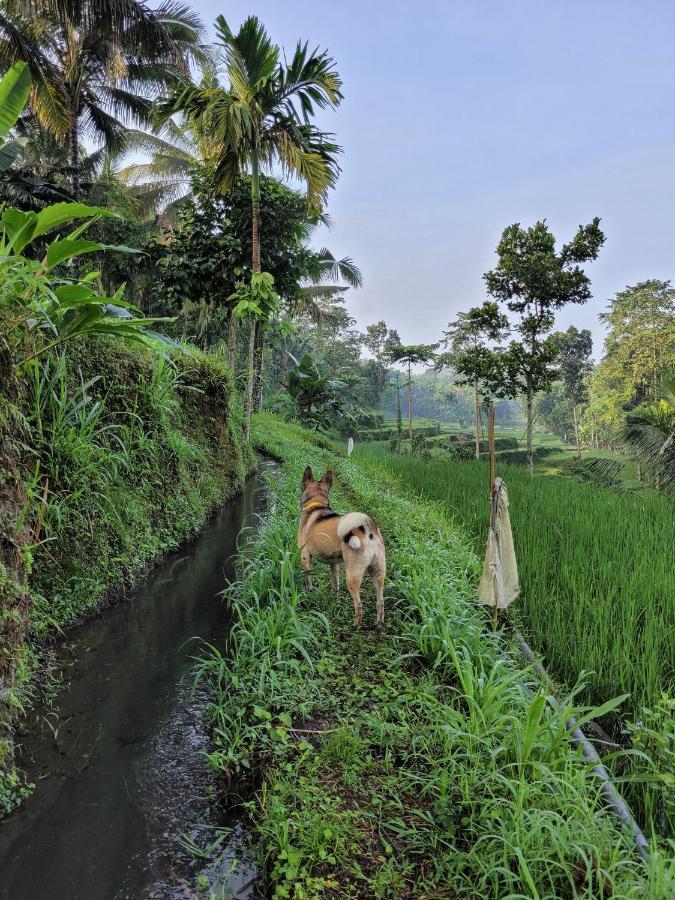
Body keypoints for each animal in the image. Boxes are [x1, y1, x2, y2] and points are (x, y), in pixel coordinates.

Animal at [298, 464, 386, 624]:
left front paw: (310, 592)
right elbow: (335, 585)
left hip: (352, 576)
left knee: (359, 604)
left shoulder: (305, 556)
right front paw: (335, 601)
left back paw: (356, 625)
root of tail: (368, 527)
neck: (317, 504)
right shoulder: (334, 564)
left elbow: (309, 578)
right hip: (378, 573)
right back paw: (379, 624)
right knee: (380, 602)